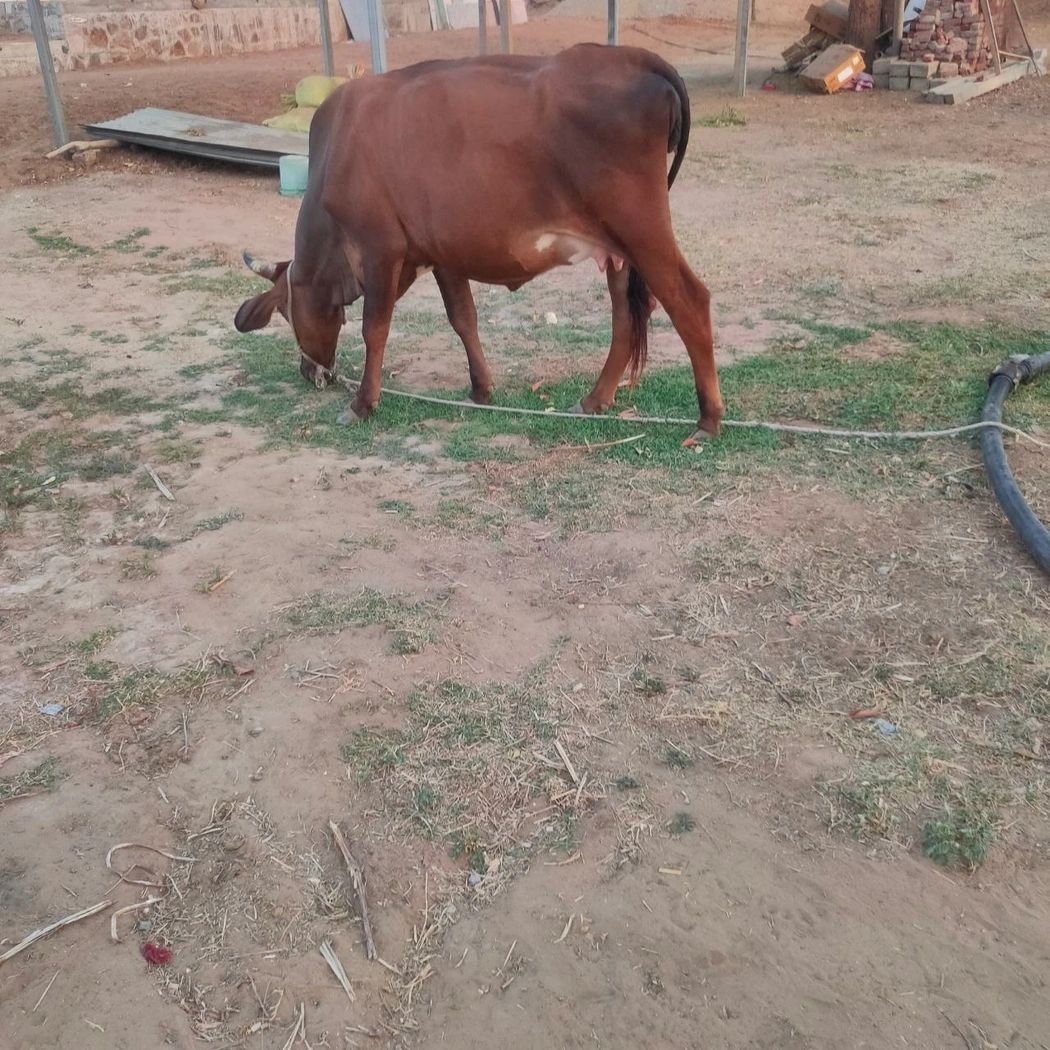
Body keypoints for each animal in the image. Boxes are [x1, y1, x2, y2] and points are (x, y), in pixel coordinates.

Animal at [234, 43, 723, 440]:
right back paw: (594, 399)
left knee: (689, 301)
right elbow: (463, 319)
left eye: (285, 312)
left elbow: (375, 328)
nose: (309, 372)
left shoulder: (381, 249)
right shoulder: (442, 253)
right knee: (625, 316)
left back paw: (708, 419)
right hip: (618, 247)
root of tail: (634, 56)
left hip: (642, 229)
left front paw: (362, 404)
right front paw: (481, 389)